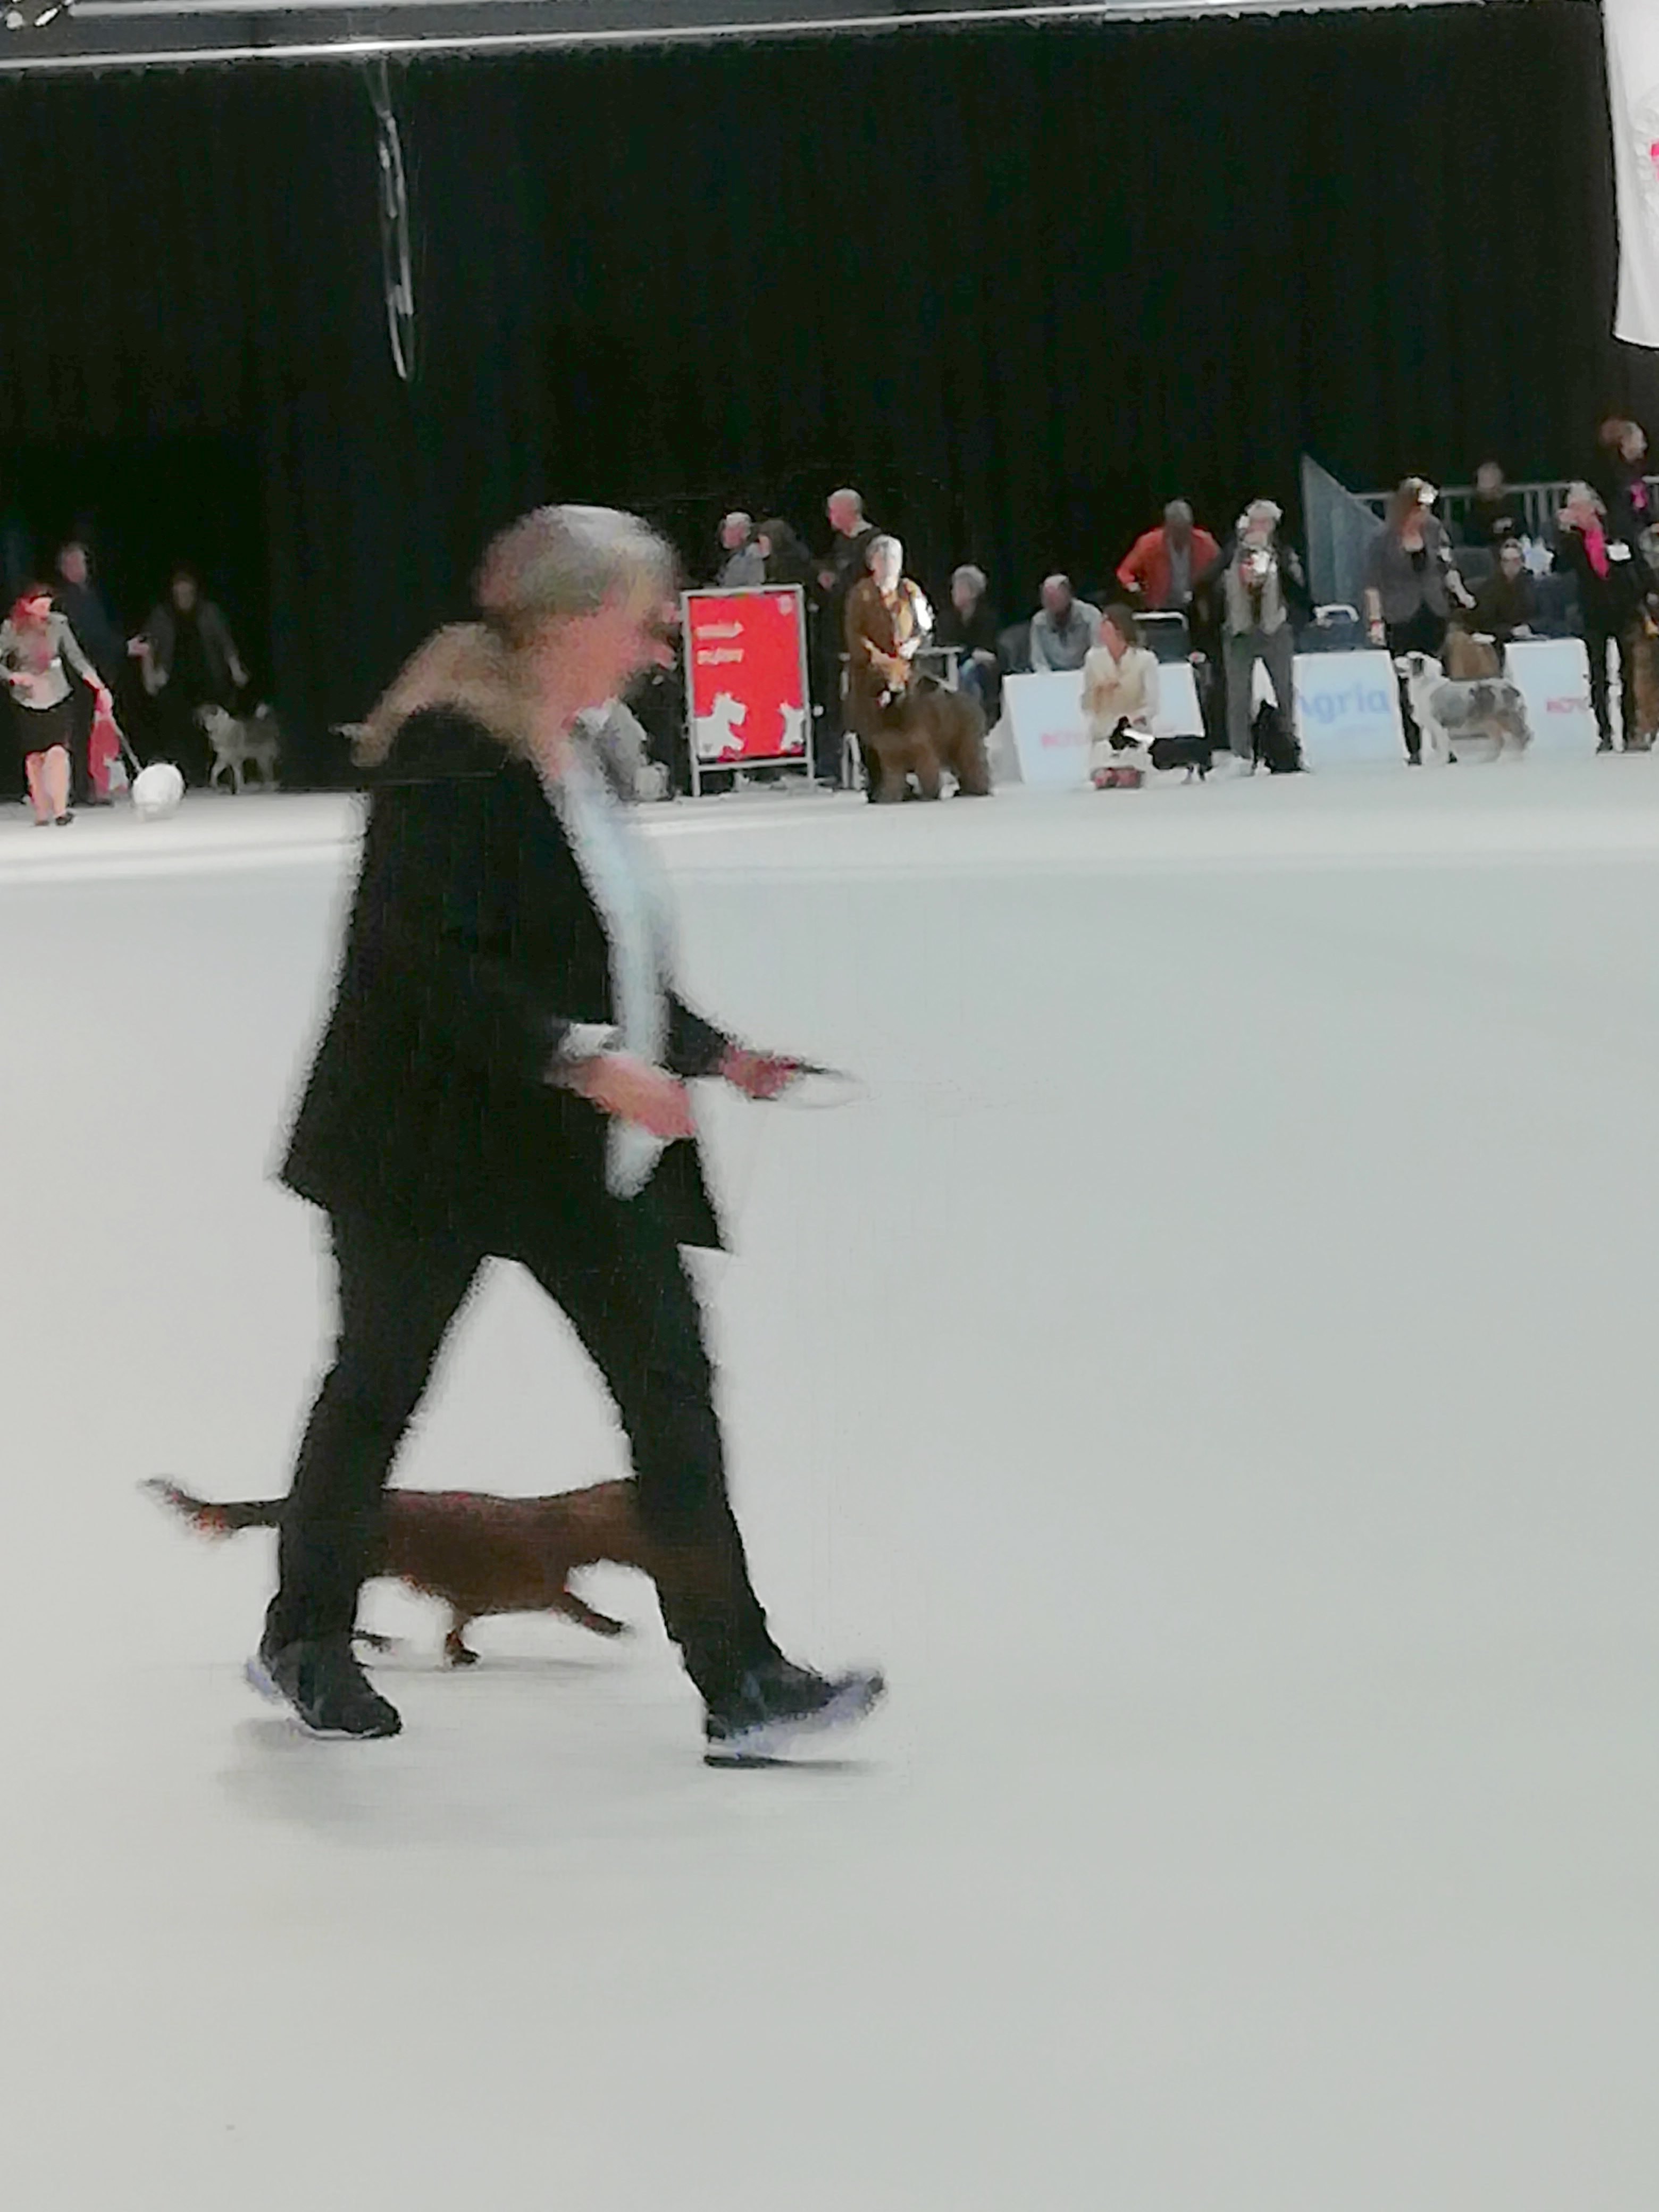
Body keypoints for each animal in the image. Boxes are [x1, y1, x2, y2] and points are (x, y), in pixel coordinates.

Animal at [145, 1476, 659, 1666]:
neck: (562, 1527)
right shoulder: (540, 1588)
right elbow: (576, 1605)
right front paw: (614, 1625)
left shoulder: (470, 1599)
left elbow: (457, 1625)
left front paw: (459, 1651)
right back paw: (372, 1642)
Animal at [198, 703, 281, 793]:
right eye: (205, 717)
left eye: (214, 716)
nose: (205, 726)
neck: (224, 731)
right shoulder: (223, 759)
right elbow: (214, 771)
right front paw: (214, 786)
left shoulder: (236, 760)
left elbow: (237, 777)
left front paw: (237, 792)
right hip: (261, 760)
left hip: (262, 760)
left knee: (268, 775)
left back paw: (268, 788)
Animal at [1400, 651, 1531, 762]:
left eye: (1407, 658)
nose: (1397, 658)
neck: (1425, 684)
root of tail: (1512, 688)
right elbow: (1442, 745)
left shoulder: (1437, 725)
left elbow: (1442, 746)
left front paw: (1442, 762)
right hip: (1490, 723)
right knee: (1500, 742)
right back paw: (1487, 760)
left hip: (1507, 718)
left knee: (1523, 737)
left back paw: (1518, 758)